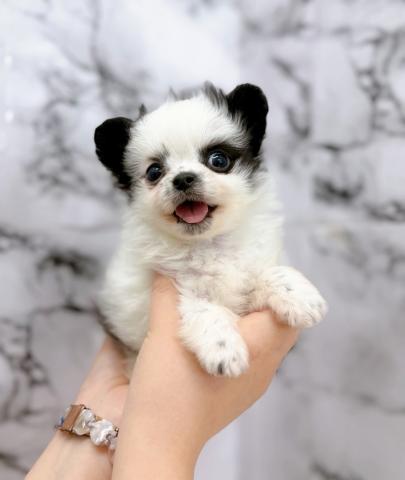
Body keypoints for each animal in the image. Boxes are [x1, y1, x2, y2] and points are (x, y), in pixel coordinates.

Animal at [94, 83, 327, 377]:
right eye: (154, 172)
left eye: (218, 160)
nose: (183, 179)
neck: (209, 243)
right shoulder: (145, 306)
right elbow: (200, 307)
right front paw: (223, 349)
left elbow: (267, 275)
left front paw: (297, 294)